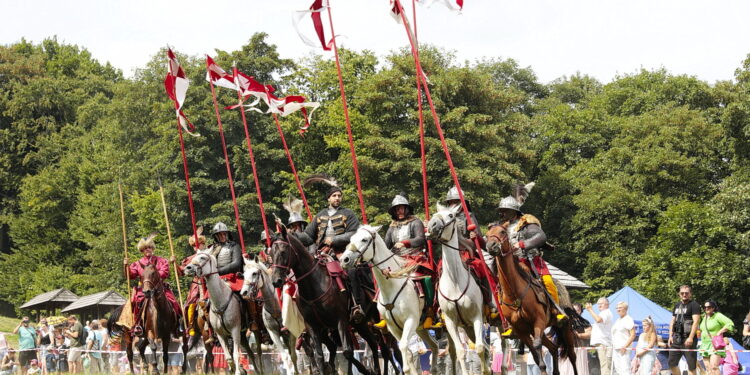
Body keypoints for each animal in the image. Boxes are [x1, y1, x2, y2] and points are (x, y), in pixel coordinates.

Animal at [270, 226, 384, 375]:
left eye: (283, 252)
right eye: (271, 253)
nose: (276, 281)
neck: (314, 287)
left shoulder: (341, 321)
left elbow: (347, 352)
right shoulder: (312, 326)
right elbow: (319, 355)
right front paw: (325, 367)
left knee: (381, 345)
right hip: (359, 324)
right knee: (371, 342)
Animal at [342, 226, 440, 375]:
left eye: (364, 239)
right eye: (351, 239)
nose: (344, 259)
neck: (393, 286)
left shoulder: (410, 320)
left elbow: (404, 347)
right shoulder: (394, 328)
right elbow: (407, 353)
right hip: (420, 328)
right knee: (434, 345)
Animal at [428, 204, 494, 375]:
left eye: (451, 215)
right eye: (435, 214)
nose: (431, 226)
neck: (455, 281)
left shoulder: (477, 317)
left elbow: (479, 348)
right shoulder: (450, 322)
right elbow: (460, 351)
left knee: (485, 348)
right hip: (465, 327)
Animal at [484, 225, 580, 375]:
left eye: (502, 232)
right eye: (487, 235)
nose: (491, 246)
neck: (514, 293)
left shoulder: (538, 321)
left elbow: (537, 346)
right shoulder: (521, 331)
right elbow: (535, 354)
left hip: (565, 328)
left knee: (572, 355)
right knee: (553, 348)